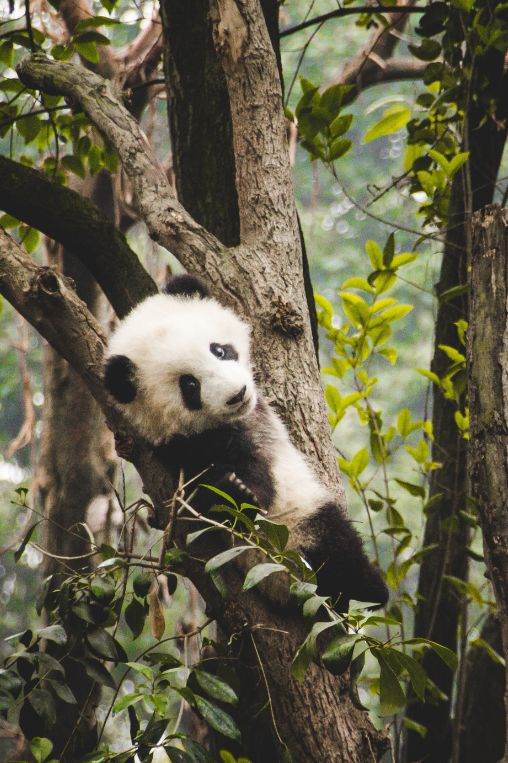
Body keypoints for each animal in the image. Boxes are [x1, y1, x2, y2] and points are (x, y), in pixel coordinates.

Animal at [104, 273, 388, 610]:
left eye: (219, 350)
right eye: (190, 385)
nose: (237, 395)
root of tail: (288, 582)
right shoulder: (181, 447)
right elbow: (222, 486)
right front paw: (235, 489)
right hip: (300, 526)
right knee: (338, 546)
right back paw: (371, 588)